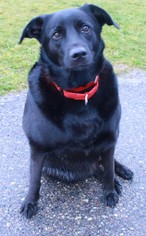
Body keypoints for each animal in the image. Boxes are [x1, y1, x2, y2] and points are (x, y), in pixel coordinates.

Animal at [19, 3, 133, 218]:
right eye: (56, 35)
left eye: (86, 28)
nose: (79, 54)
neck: (79, 93)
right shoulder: (38, 149)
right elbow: (33, 180)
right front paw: (30, 202)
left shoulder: (109, 139)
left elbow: (108, 169)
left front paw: (109, 190)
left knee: (107, 164)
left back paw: (121, 172)